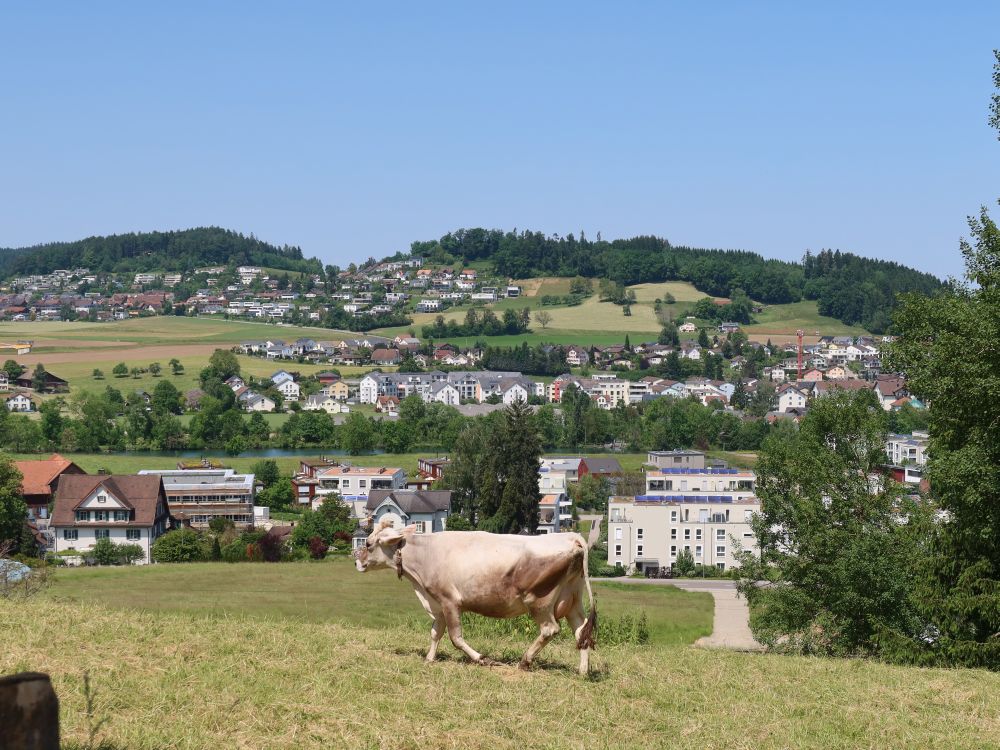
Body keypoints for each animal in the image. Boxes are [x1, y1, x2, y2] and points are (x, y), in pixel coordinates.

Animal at [356, 520, 596, 680]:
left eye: (368, 544)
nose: (357, 561)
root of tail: (570, 537)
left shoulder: (449, 600)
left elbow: (456, 638)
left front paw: (482, 658)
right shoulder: (437, 602)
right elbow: (435, 633)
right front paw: (429, 658)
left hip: (540, 601)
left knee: (550, 629)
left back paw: (524, 661)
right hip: (572, 600)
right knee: (582, 632)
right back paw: (582, 672)